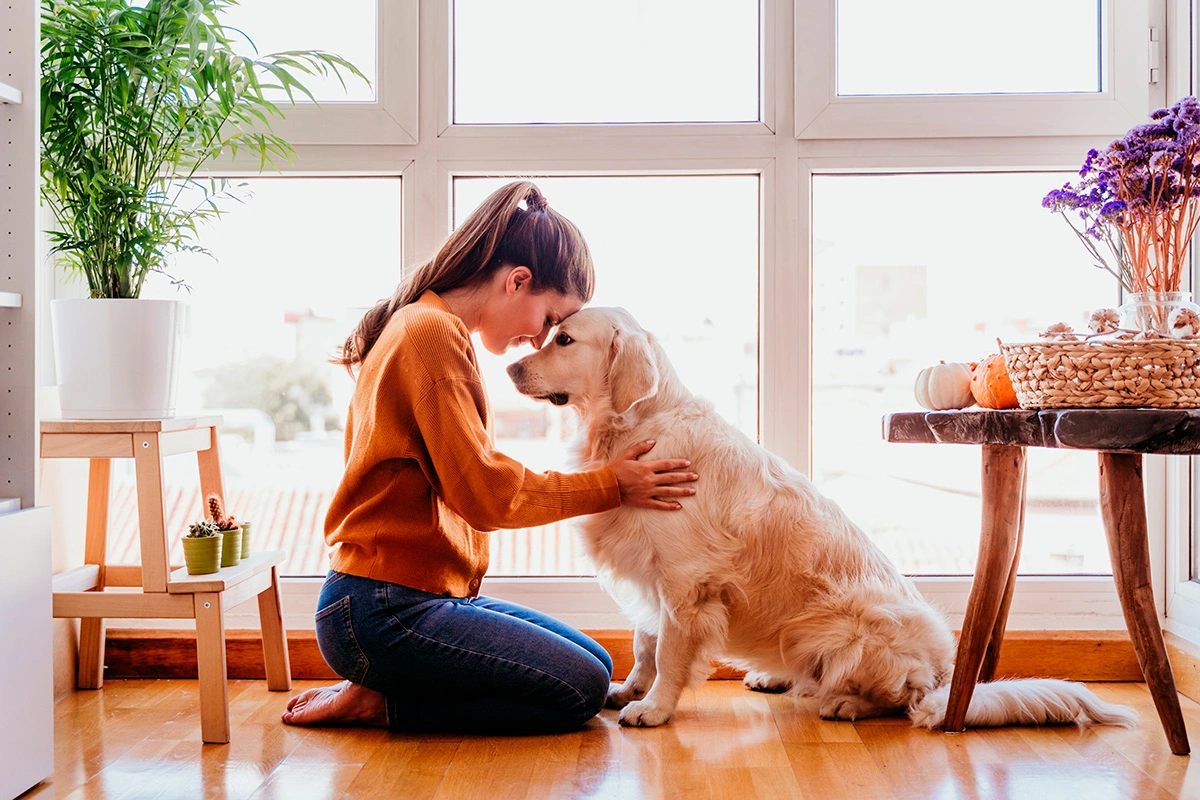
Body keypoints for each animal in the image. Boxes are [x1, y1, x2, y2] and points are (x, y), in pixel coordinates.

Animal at [504, 307, 1132, 734]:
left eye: (564, 339)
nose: (508, 366)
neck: (634, 427)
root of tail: (944, 674)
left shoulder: (685, 581)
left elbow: (671, 652)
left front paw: (653, 707)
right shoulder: (650, 573)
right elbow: (644, 642)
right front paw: (628, 689)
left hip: (849, 626)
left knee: (898, 699)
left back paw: (844, 702)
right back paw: (777, 676)